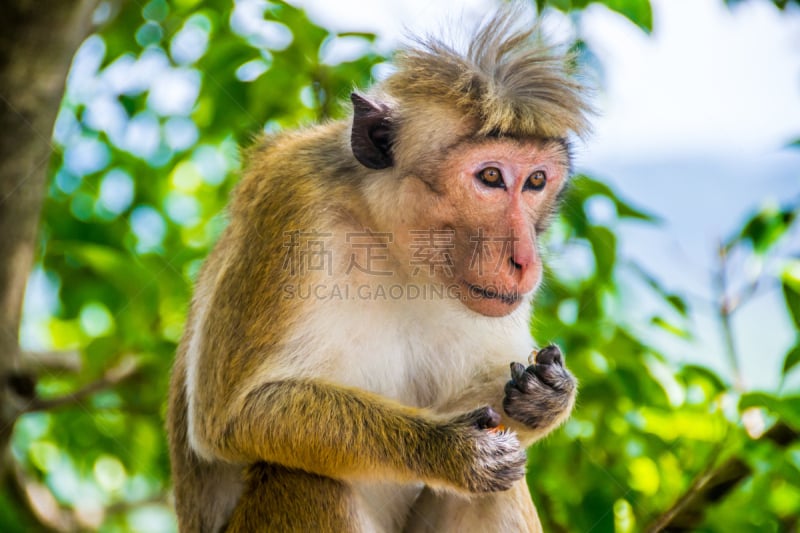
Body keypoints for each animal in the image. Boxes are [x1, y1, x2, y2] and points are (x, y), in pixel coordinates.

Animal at [167, 5, 592, 532]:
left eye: (535, 181)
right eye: (491, 177)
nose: (525, 259)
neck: (388, 241)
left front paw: (546, 397)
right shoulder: (292, 203)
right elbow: (232, 415)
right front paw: (451, 451)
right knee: (301, 478)